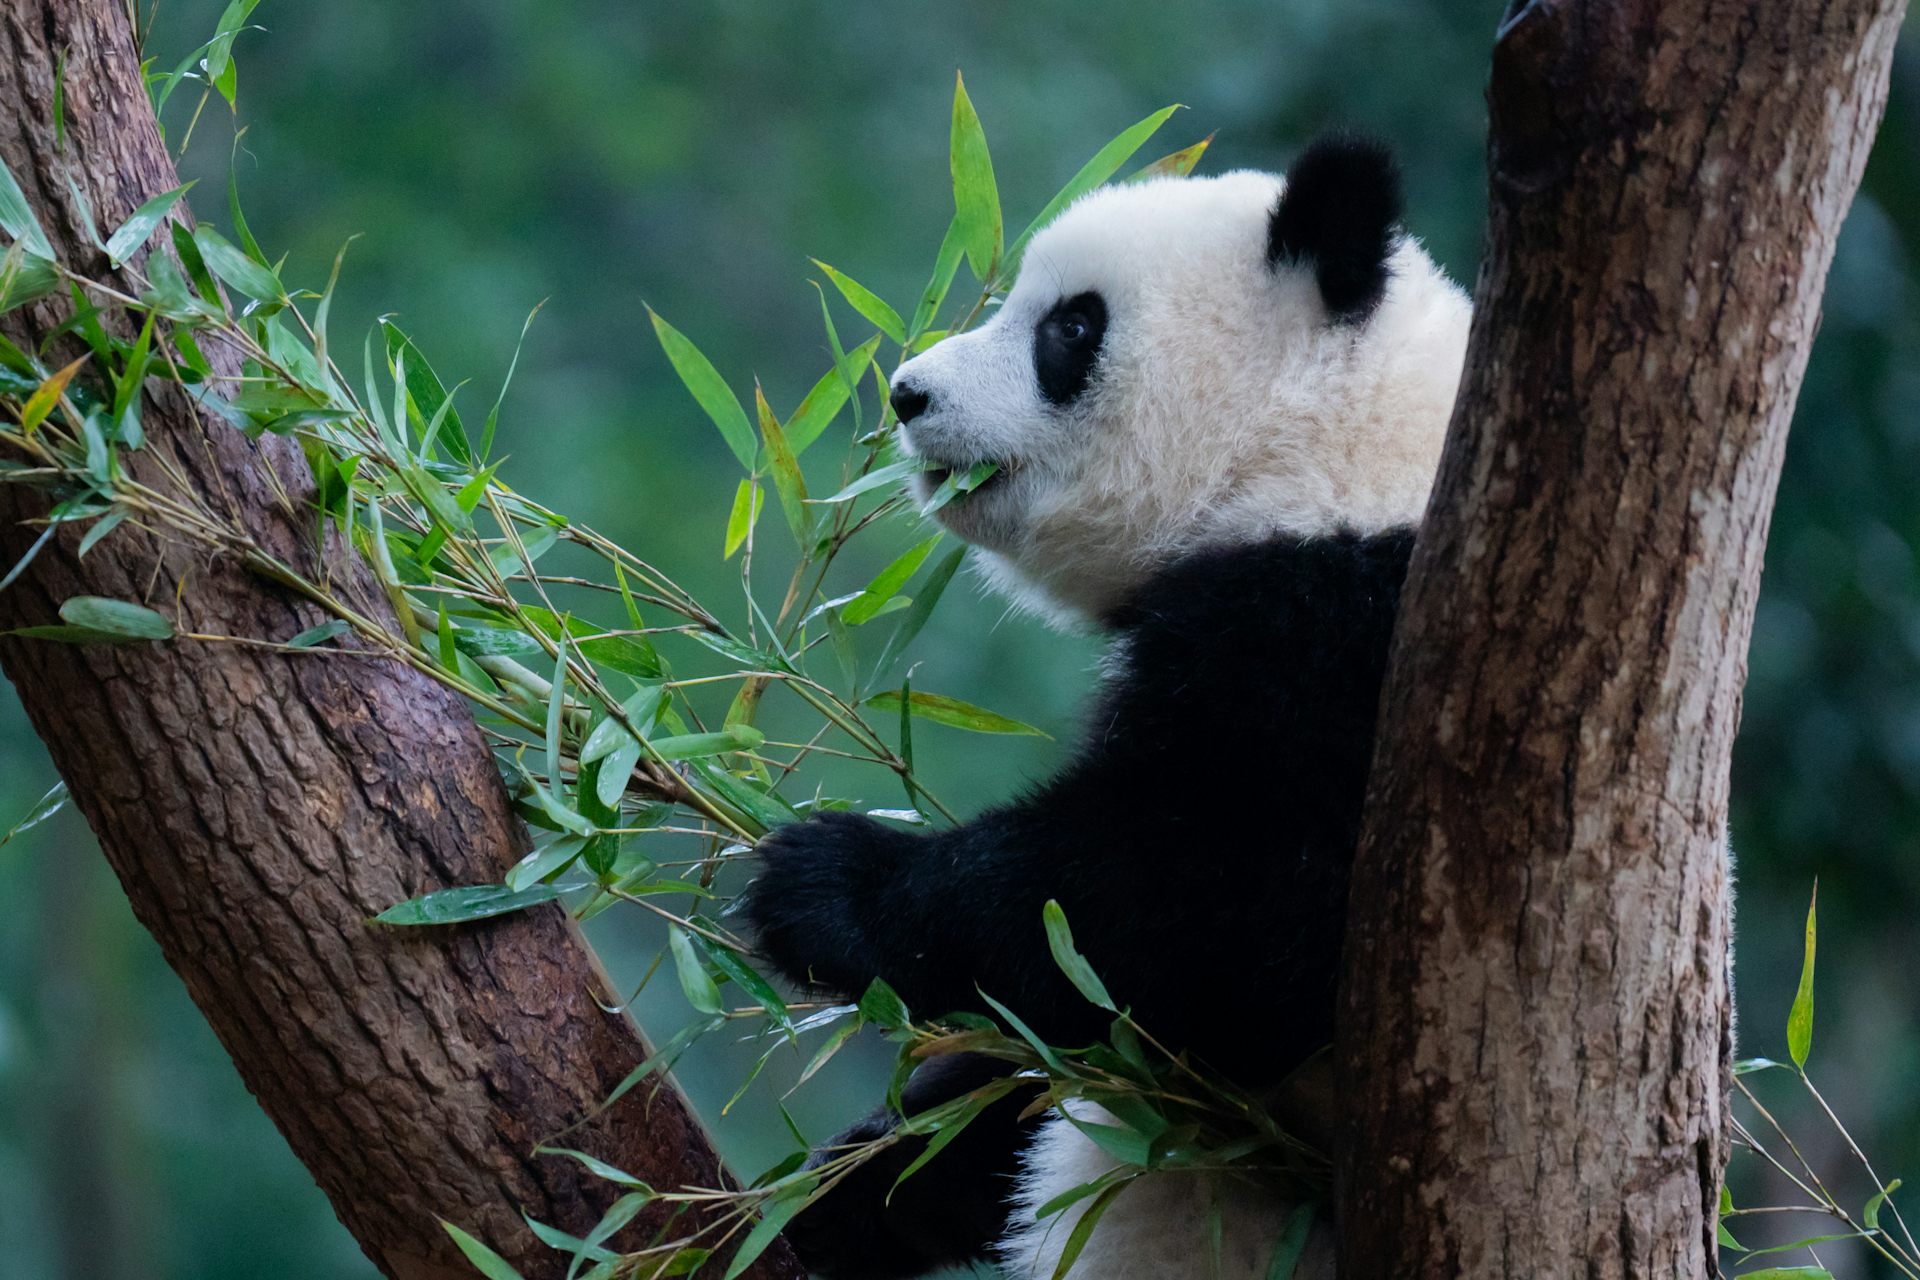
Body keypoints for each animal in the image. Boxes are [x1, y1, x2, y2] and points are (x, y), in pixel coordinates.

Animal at [733, 135, 1466, 1274]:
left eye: (1070, 326)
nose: (906, 393)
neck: (1321, 435)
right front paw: (849, 1182)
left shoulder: (1362, 632)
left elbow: (1230, 904)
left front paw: (823, 883)